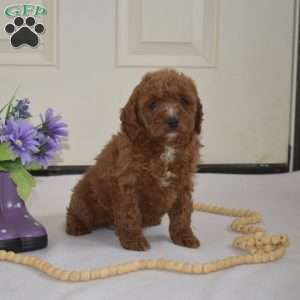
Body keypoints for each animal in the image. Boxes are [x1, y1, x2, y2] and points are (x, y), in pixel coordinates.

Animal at [66, 69, 204, 251]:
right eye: (152, 104)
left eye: (184, 100)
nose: (172, 120)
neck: (164, 147)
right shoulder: (127, 183)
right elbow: (130, 214)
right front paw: (134, 241)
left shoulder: (183, 182)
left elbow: (183, 212)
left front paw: (185, 237)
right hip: (83, 198)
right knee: (76, 212)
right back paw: (76, 226)